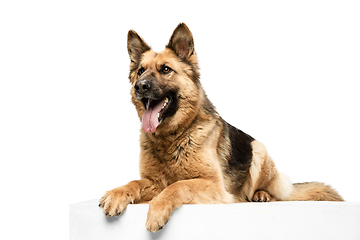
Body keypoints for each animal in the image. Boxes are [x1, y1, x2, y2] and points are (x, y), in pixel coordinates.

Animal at [99, 23, 344, 232]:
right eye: (140, 71)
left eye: (166, 70)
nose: (140, 86)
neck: (173, 137)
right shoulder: (153, 181)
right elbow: (134, 182)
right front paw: (116, 194)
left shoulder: (213, 185)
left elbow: (177, 186)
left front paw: (157, 210)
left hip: (258, 149)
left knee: (276, 192)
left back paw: (262, 195)